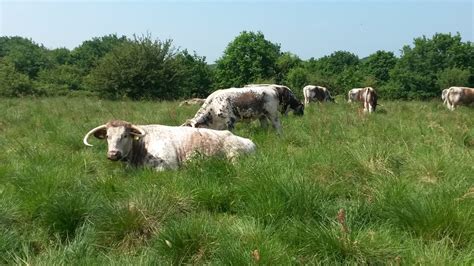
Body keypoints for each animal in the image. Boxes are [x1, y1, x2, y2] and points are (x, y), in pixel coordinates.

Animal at [83, 120, 258, 171]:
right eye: (107, 136)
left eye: (125, 135)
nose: (113, 154)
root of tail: (250, 142)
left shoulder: (167, 166)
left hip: (234, 157)